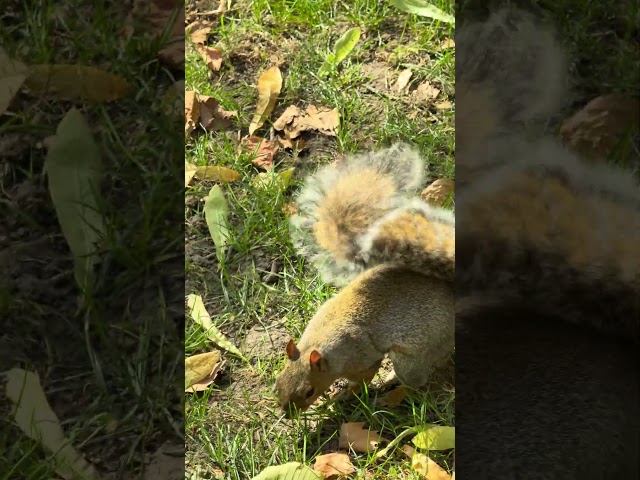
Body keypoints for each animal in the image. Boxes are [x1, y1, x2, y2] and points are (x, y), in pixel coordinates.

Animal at [276, 142, 456, 412]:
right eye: (278, 381)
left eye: (309, 391)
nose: (288, 415)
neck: (319, 342)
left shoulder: (361, 356)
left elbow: (364, 377)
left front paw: (343, 395)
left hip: (412, 356)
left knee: (415, 383)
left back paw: (391, 396)